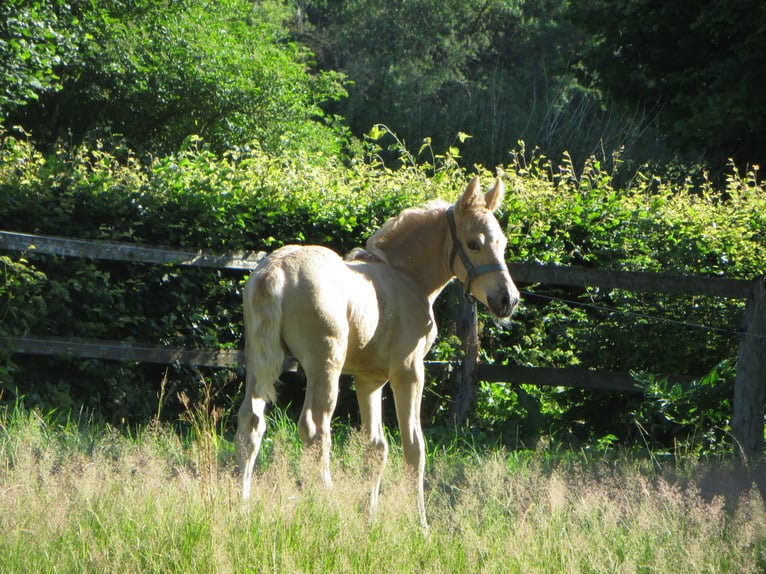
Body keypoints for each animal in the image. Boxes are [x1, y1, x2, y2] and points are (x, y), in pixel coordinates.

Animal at [237, 176, 520, 532]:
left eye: (502, 243)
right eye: (474, 243)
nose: (508, 299)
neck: (406, 277)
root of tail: (277, 269)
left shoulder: (369, 379)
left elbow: (376, 448)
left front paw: (370, 517)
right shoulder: (409, 371)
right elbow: (414, 447)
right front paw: (421, 526)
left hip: (259, 359)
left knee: (251, 420)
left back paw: (240, 506)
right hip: (324, 365)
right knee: (316, 429)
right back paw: (329, 505)